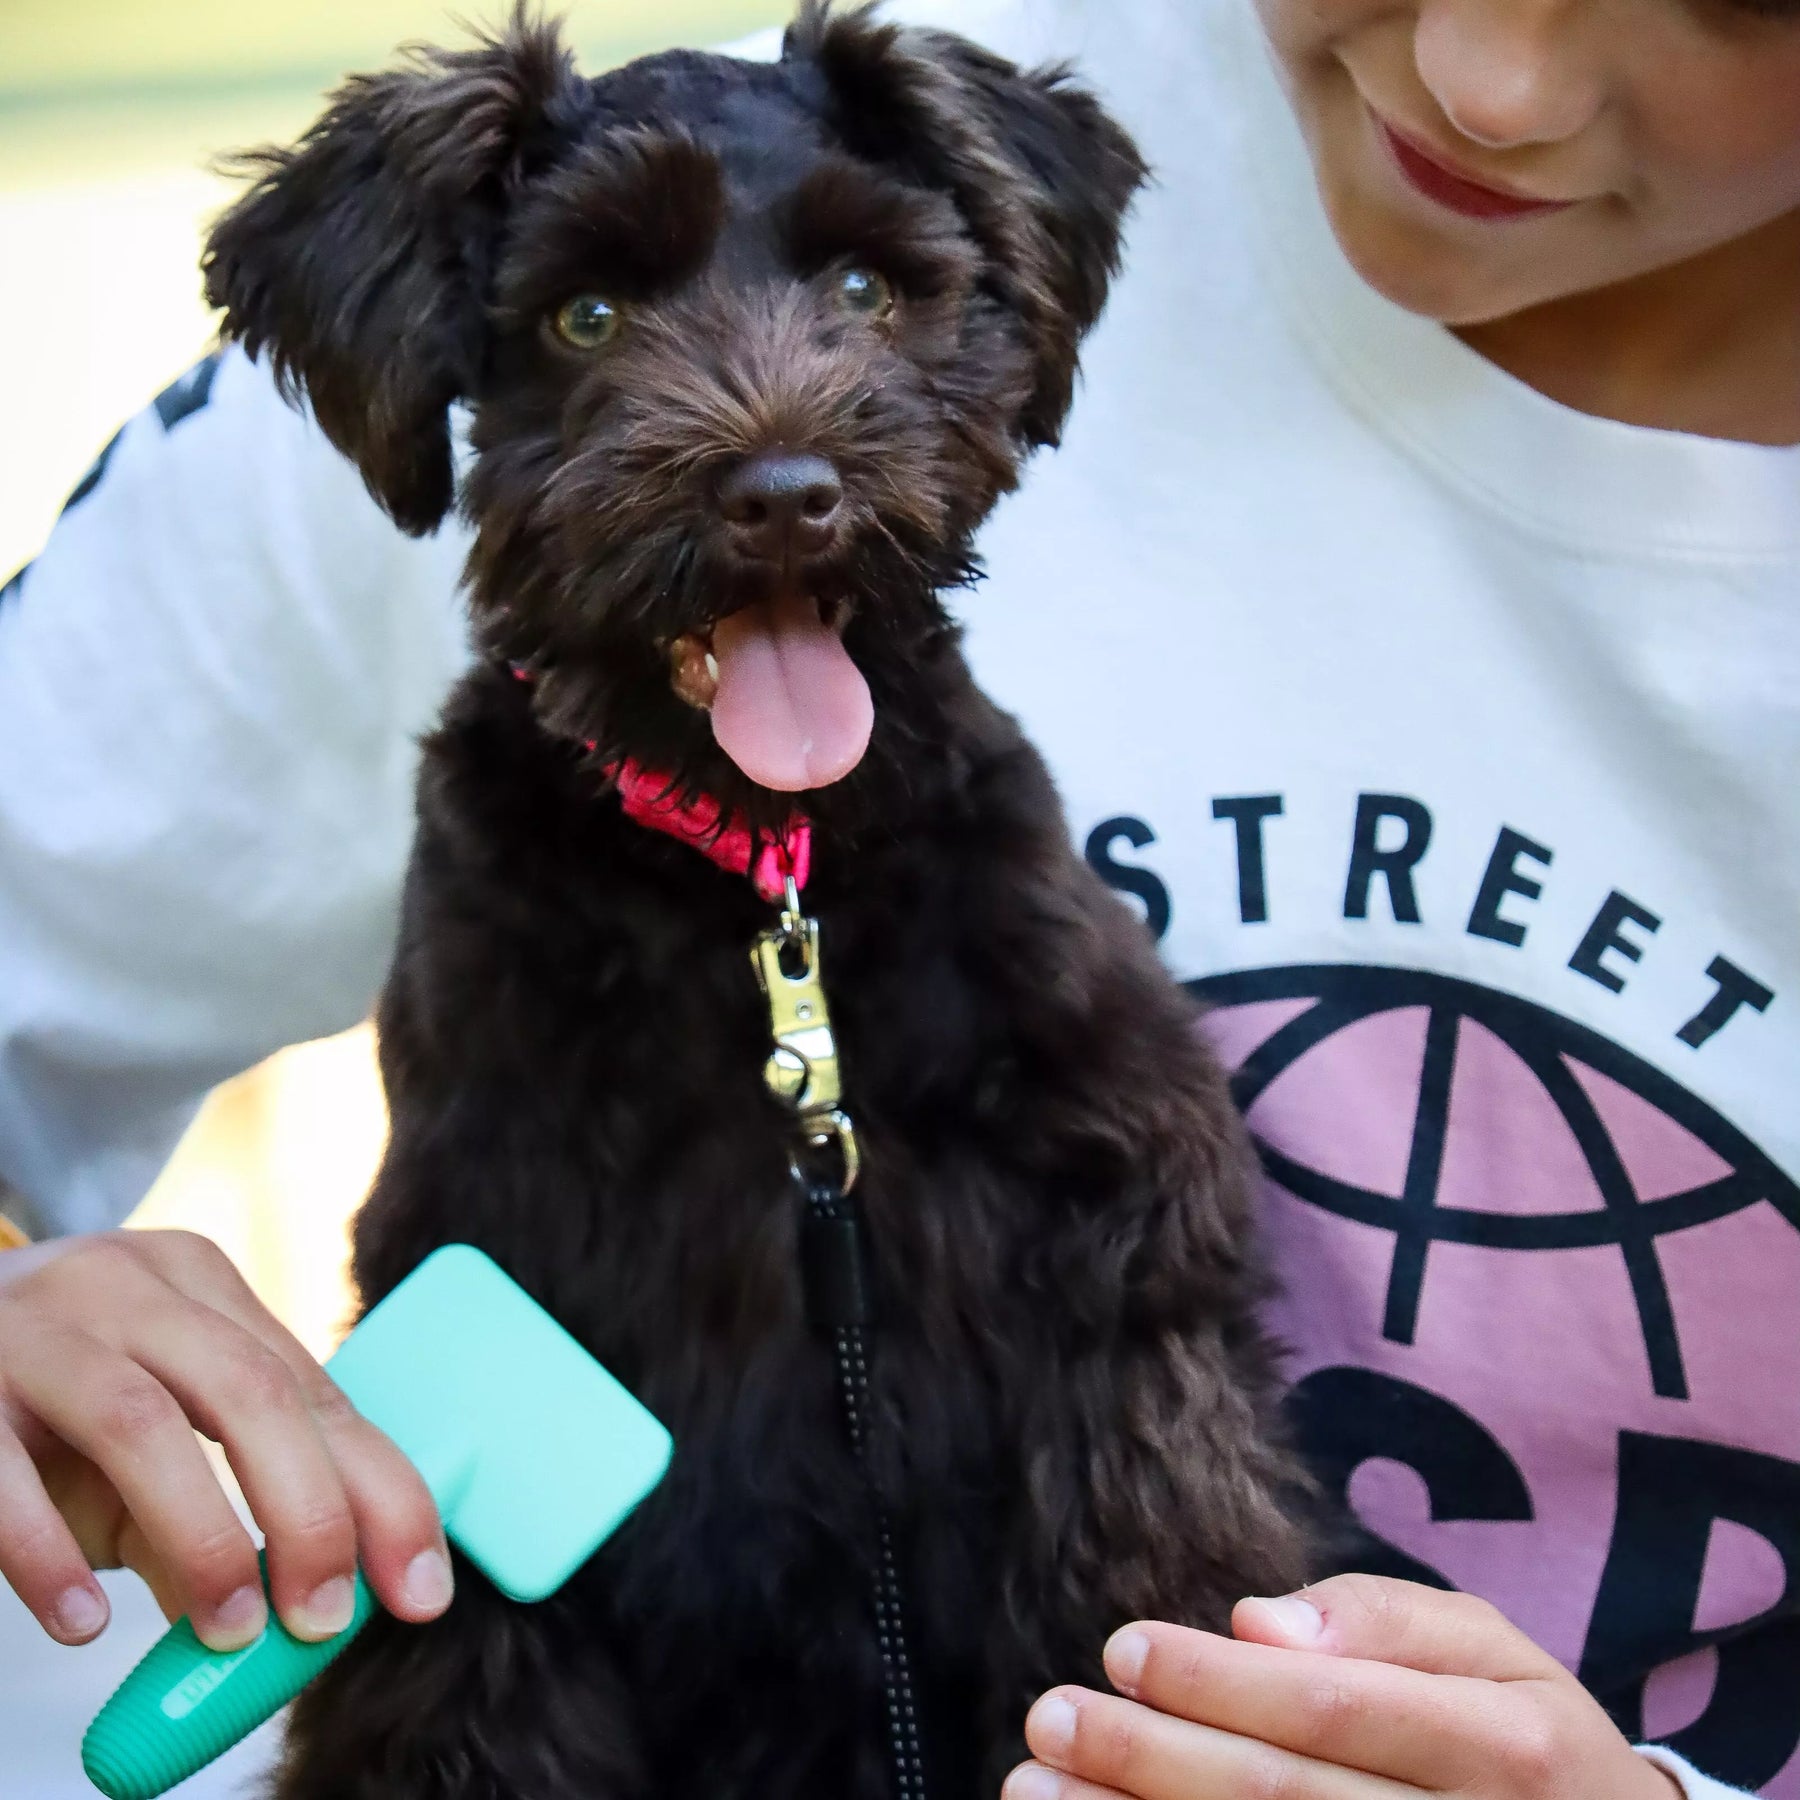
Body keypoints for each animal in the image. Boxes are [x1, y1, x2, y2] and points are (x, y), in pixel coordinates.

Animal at [204, 7, 1310, 1792]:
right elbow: (465, 1682)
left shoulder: (1117, 1236)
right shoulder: (489, 1250)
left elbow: (1154, 1556)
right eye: (587, 315)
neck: (761, 879)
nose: (786, 492)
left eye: (865, 288)